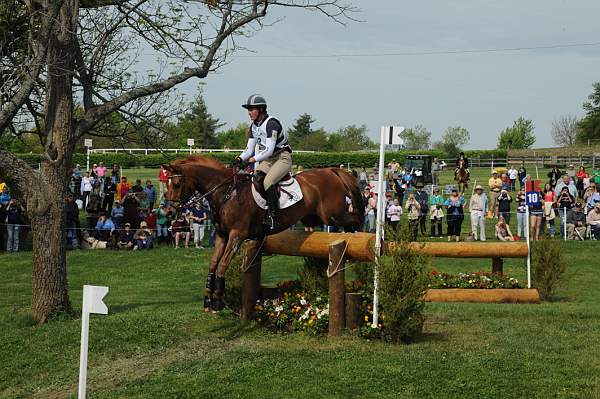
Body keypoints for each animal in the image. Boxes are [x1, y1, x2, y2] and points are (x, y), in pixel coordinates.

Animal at [162, 156, 364, 312]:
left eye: (177, 184)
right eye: (167, 184)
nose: (169, 212)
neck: (226, 193)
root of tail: (331, 171)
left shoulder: (236, 235)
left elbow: (222, 265)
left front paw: (217, 301)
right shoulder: (221, 236)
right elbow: (213, 265)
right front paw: (207, 299)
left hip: (332, 215)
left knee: (354, 218)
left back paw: (358, 239)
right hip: (314, 218)